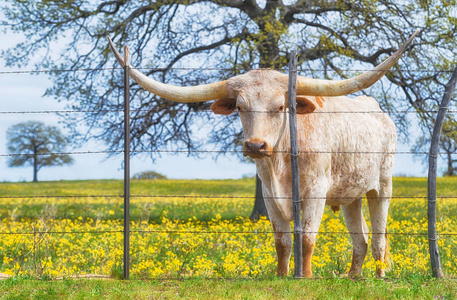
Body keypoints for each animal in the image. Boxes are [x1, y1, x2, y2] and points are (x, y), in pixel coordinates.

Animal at [107, 31, 416, 278]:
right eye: (240, 107)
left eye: (280, 107)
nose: (256, 146)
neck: (283, 158)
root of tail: (379, 111)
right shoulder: (268, 194)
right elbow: (282, 241)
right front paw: (281, 276)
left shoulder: (316, 191)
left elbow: (307, 239)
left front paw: (306, 277)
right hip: (350, 195)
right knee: (359, 239)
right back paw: (352, 277)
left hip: (382, 186)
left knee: (378, 238)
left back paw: (380, 276)